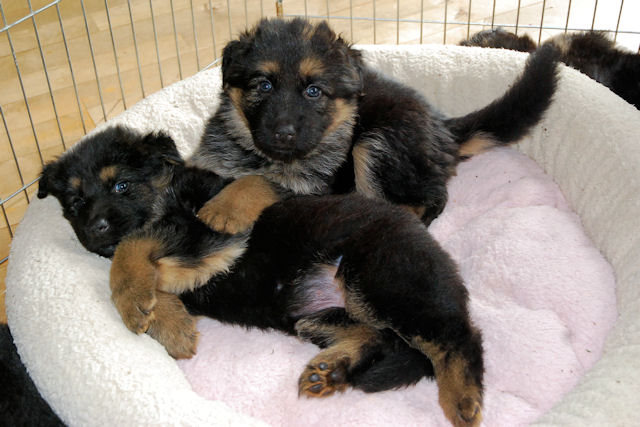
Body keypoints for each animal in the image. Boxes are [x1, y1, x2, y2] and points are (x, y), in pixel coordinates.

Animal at [39, 127, 484, 426]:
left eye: (121, 185)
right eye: (75, 202)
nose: (95, 228)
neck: (170, 194)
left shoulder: (211, 234)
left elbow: (136, 246)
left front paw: (135, 301)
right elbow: (155, 268)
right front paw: (170, 324)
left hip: (382, 280)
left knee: (457, 336)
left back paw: (462, 400)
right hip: (313, 314)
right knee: (376, 337)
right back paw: (332, 369)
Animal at [189, 17, 559, 235]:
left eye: (313, 91)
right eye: (263, 85)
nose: (284, 133)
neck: (256, 154)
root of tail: (443, 128)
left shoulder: (313, 182)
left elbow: (259, 181)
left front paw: (225, 208)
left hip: (377, 141)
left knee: (433, 198)